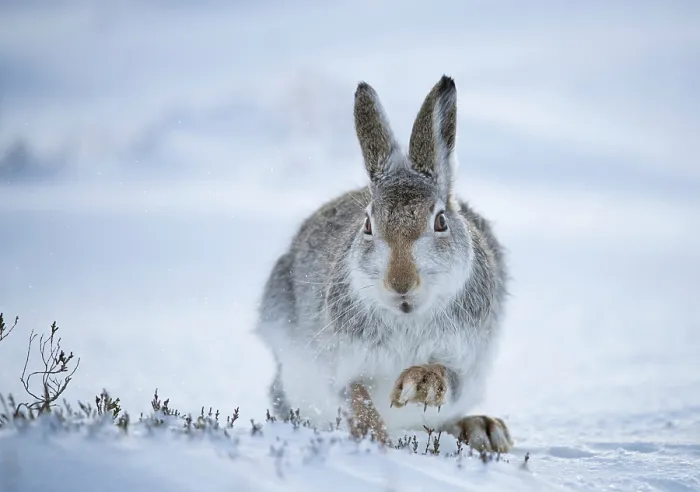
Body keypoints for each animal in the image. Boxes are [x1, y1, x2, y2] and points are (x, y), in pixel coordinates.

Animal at [255, 75, 513, 452]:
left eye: (440, 221)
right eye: (368, 224)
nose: (400, 283)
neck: (406, 316)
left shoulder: (466, 360)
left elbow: (447, 378)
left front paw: (420, 383)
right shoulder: (337, 363)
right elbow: (352, 393)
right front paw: (371, 434)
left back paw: (483, 428)